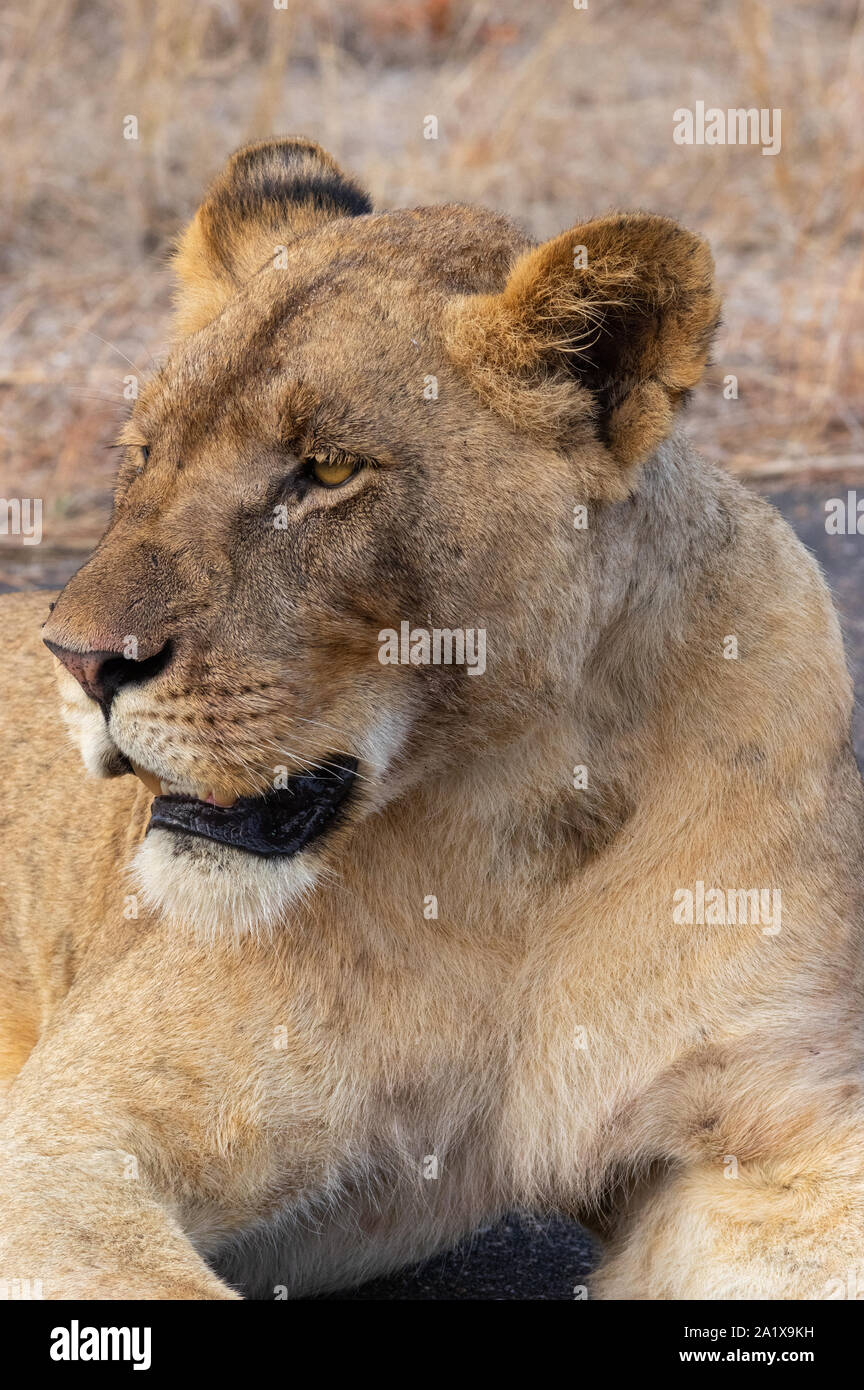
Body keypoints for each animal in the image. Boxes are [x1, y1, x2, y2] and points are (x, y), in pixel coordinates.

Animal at [1, 135, 864, 1295]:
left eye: (326, 469)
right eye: (142, 456)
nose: (80, 660)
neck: (518, 830)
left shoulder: (777, 1139)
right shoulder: (68, 1138)